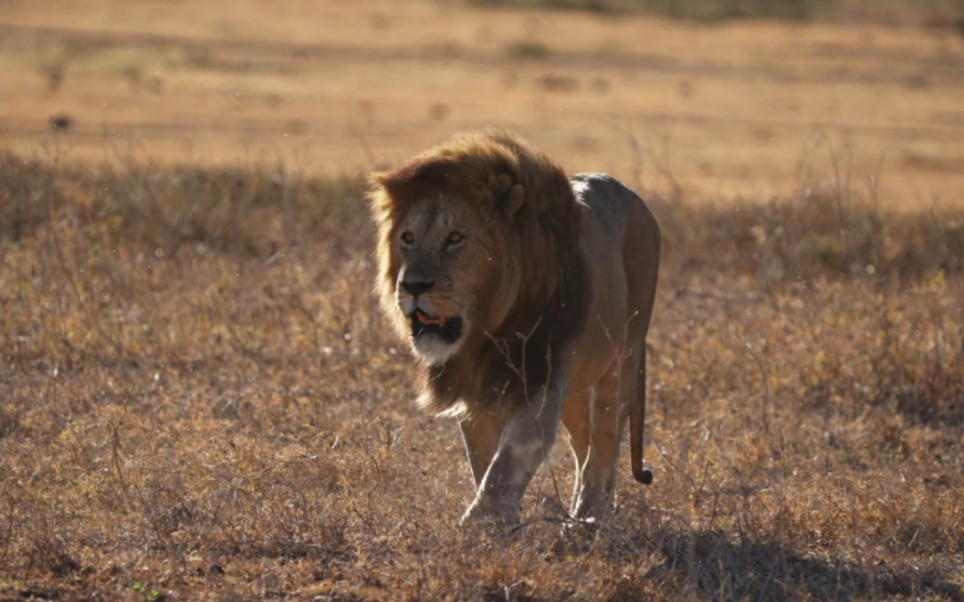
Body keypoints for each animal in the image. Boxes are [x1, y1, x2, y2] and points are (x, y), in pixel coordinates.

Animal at [366, 127, 660, 524]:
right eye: (407, 238)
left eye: (455, 238)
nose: (413, 286)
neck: (484, 331)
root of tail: (638, 201)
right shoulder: (475, 395)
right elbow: (483, 461)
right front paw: (497, 521)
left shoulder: (539, 378)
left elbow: (507, 463)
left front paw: (481, 525)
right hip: (577, 386)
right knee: (584, 448)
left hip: (621, 359)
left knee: (605, 444)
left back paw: (590, 519)